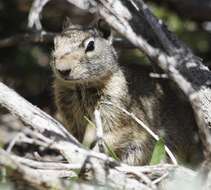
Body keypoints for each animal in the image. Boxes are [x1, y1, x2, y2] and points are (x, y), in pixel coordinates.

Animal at [51, 20, 203, 166]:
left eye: (91, 46)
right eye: (55, 43)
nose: (62, 70)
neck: (81, 87)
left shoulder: (118, 118)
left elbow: (109, 139)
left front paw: (90, 155)